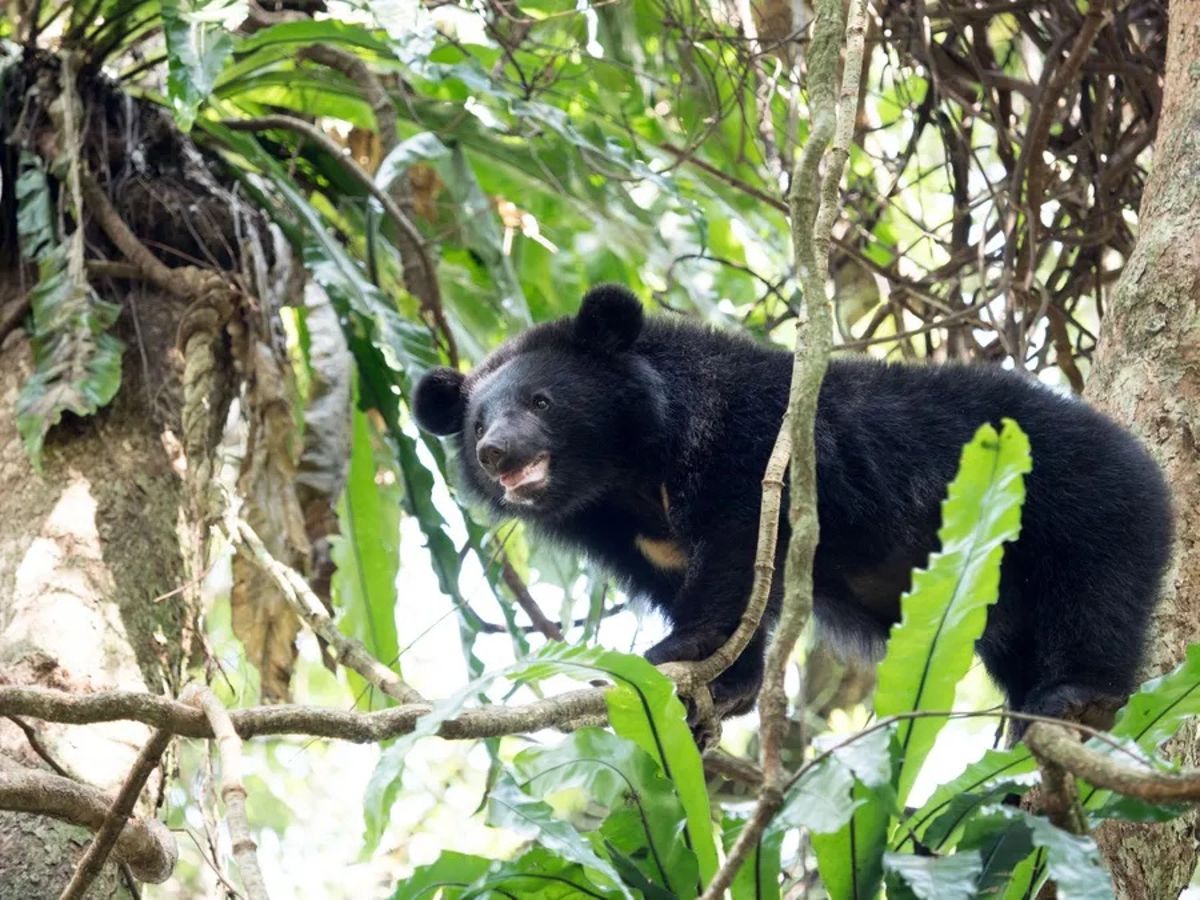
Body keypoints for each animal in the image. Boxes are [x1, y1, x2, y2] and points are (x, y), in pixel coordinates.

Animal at [412, 284, 1172, 731]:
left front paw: (668, 655)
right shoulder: (639, 542)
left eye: (541, 401)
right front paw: (722, 690)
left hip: (1079, 500)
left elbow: (736, 559)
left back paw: (1076, 696)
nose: (498, 455)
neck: (630, 475)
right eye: (478, 424)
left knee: (1098, 591)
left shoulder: (752, 448)